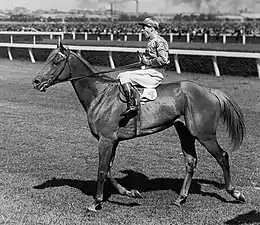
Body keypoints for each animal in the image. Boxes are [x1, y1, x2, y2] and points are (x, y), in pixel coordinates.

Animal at [32, 41, 246, 212]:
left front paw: (96, 202)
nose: (36, 81)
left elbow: (101, 171)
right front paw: (130, 192)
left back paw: (235, 193)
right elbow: (108, 170)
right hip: (184, 131)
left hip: (204, 134)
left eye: (55, 61)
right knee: (191, 161)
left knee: (222, 156)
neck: (100, 93)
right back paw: (180, 198)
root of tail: (209, 91)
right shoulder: (113, 141)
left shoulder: (105, 140)